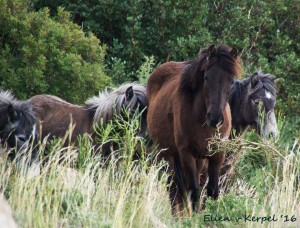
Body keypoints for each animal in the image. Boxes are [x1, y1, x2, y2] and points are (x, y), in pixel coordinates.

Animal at [146, 44, 243, 214]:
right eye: (206, 77)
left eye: (231, 81)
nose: (215, 117)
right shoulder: (186, 153)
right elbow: (194, 191)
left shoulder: (217, 155)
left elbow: (212, 191)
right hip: (167, 155)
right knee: (174, 189)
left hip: (199, 160)